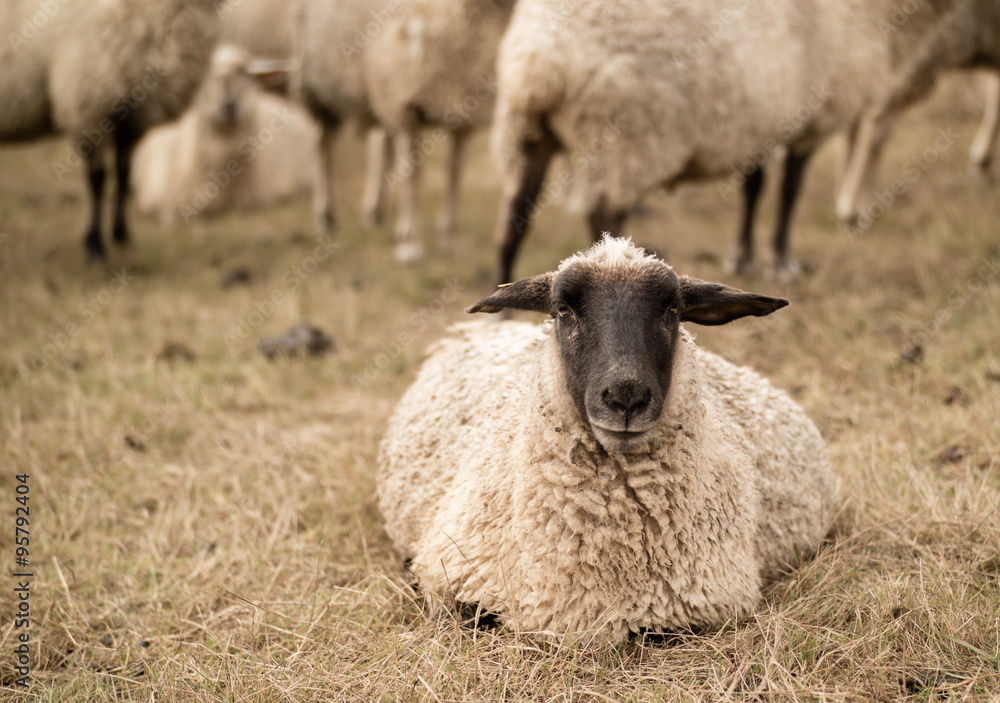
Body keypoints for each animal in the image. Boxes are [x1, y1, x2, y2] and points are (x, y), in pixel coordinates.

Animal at [0, 0, 221, 259]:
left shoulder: (132, 119)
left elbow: (124, 174)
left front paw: (121, 235)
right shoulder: (87, 106)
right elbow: (98, 179)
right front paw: (94, 244)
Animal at [364, 0, 517, 262]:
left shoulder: (462, 114)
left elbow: (454, 173)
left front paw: (450, 236)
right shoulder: (408, 111)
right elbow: (412, 176)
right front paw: (409, 242)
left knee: (384, 142)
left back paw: (376, 211)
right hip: (390, 99)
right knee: (378, 143)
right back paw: (373, 210)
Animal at [488, 0, 990, 286]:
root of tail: (545, 61)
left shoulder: (755, 119)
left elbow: (754, 186)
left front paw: (743, 258)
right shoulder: (811, 113)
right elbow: (789, 190)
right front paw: (782, 262)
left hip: (527, 131)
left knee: (514, 217)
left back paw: (503, 303)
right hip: (627, 138)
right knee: (603, 215)